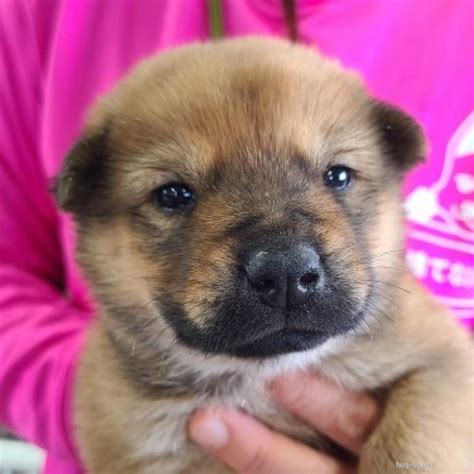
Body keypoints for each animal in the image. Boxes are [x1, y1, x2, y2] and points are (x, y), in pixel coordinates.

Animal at [56, 38, 474, 474]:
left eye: (338, 175)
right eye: (172, 195)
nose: (286, 270)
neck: (261, 375)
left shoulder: (443, 360)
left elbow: (411, 442)